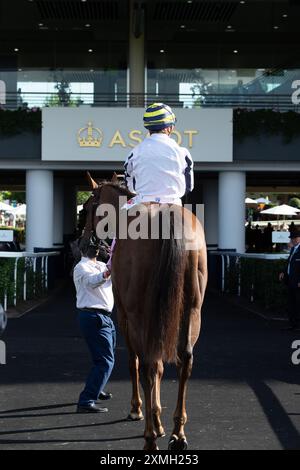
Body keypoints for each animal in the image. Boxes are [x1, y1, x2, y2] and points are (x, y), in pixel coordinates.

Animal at [83, 173, 207, 452]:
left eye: (87, 207)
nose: (85, 240)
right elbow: (161, 365)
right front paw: (160, 420)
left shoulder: (126, 315)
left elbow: (135, 363)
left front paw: (141, 412)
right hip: (192, 311)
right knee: (185, 360)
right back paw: (178, 433)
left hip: (139, 313)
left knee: (147, 364)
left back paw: (150, 437)